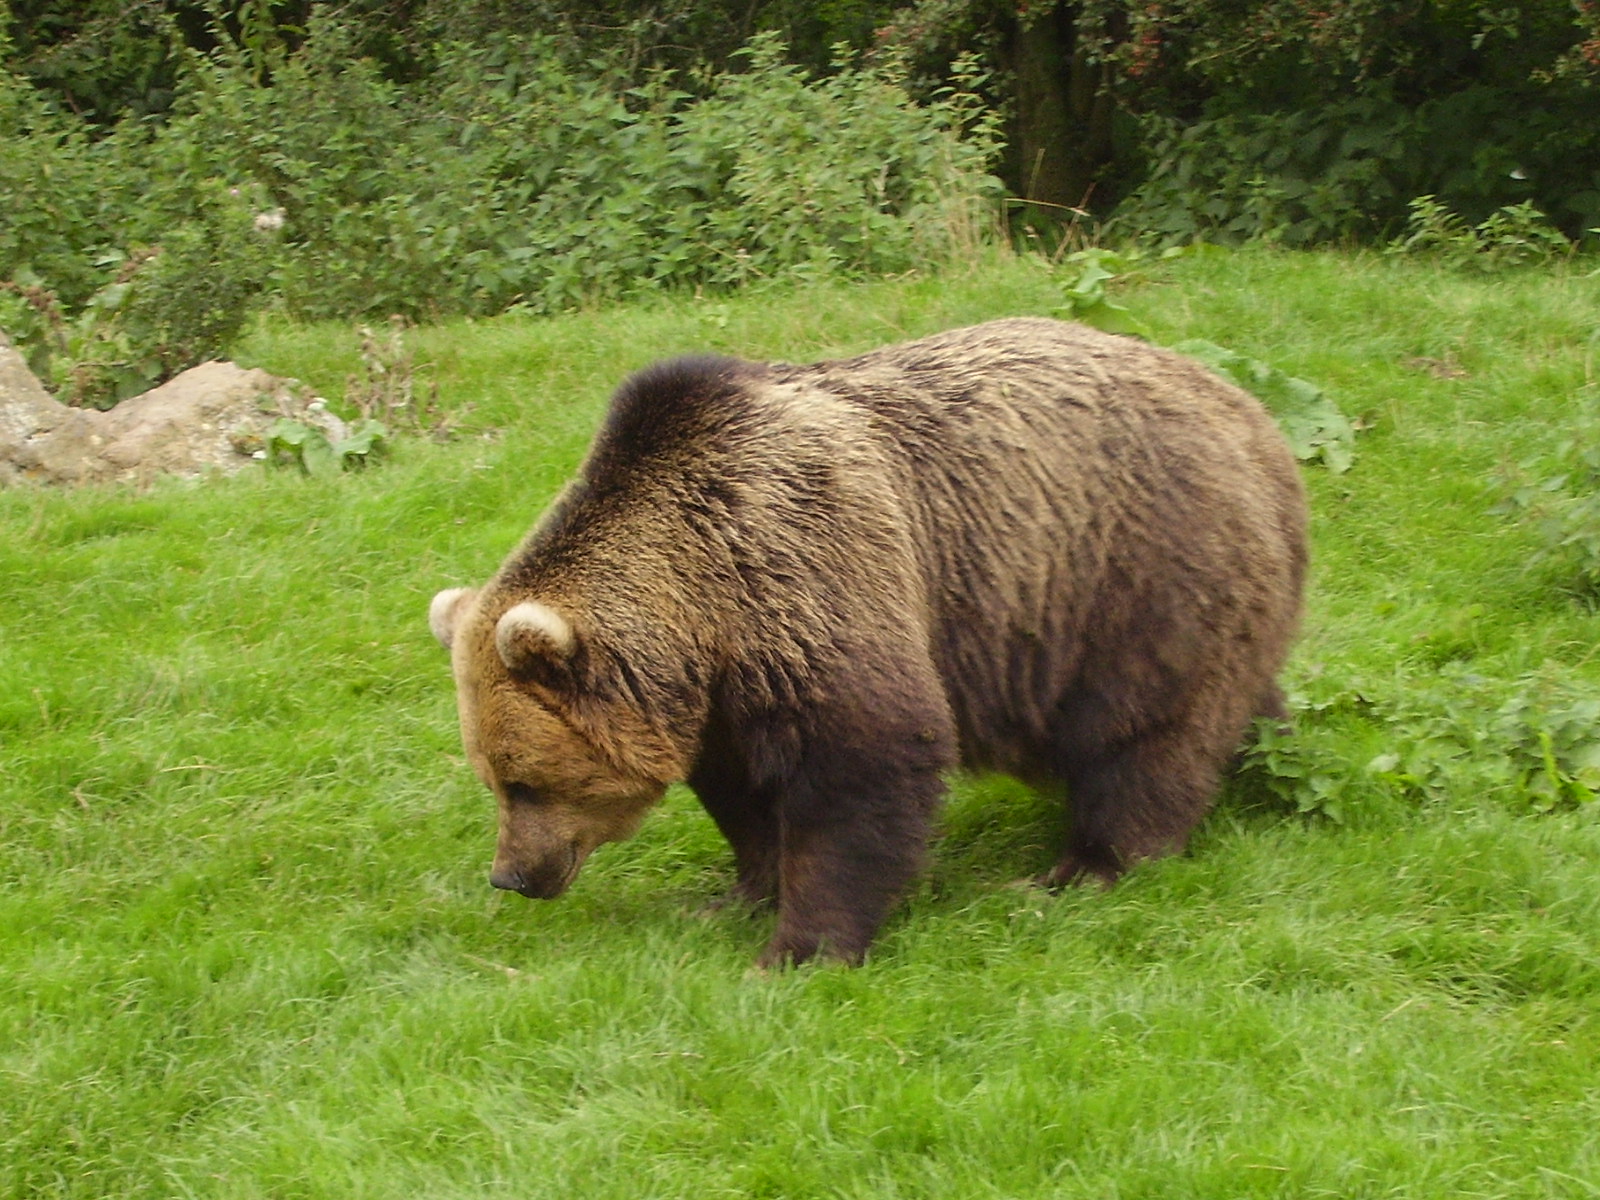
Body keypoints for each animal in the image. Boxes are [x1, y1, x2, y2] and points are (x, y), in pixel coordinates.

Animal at [429, 317, 1308, 967]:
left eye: (526, 782)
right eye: (491, 776)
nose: (512, 876)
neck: (703, 607)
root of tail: (1251, 414)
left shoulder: (809, 568)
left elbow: (865, 760)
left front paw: (800, 948)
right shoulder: (728, 693)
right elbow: (745, 793)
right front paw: (735, 893)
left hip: (1128, 569)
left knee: (1141, 730)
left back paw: (1085, 867)